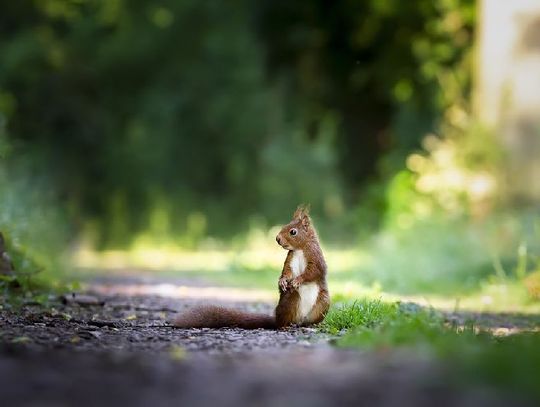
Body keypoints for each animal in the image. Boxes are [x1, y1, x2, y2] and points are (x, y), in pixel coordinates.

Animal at [175, 206, 332, 330]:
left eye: (293, 231)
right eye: (284, 226)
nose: (277, 239)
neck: (300, 249)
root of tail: (298, 320)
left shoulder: (316, 258)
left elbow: (314, 271)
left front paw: (298, 280)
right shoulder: (290, 259)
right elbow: (287, 272)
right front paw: (282, 281)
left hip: (322, 303)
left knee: (309, 320)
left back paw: (313, 324)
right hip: (290, 300)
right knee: (282, 321)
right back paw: (285, 326)